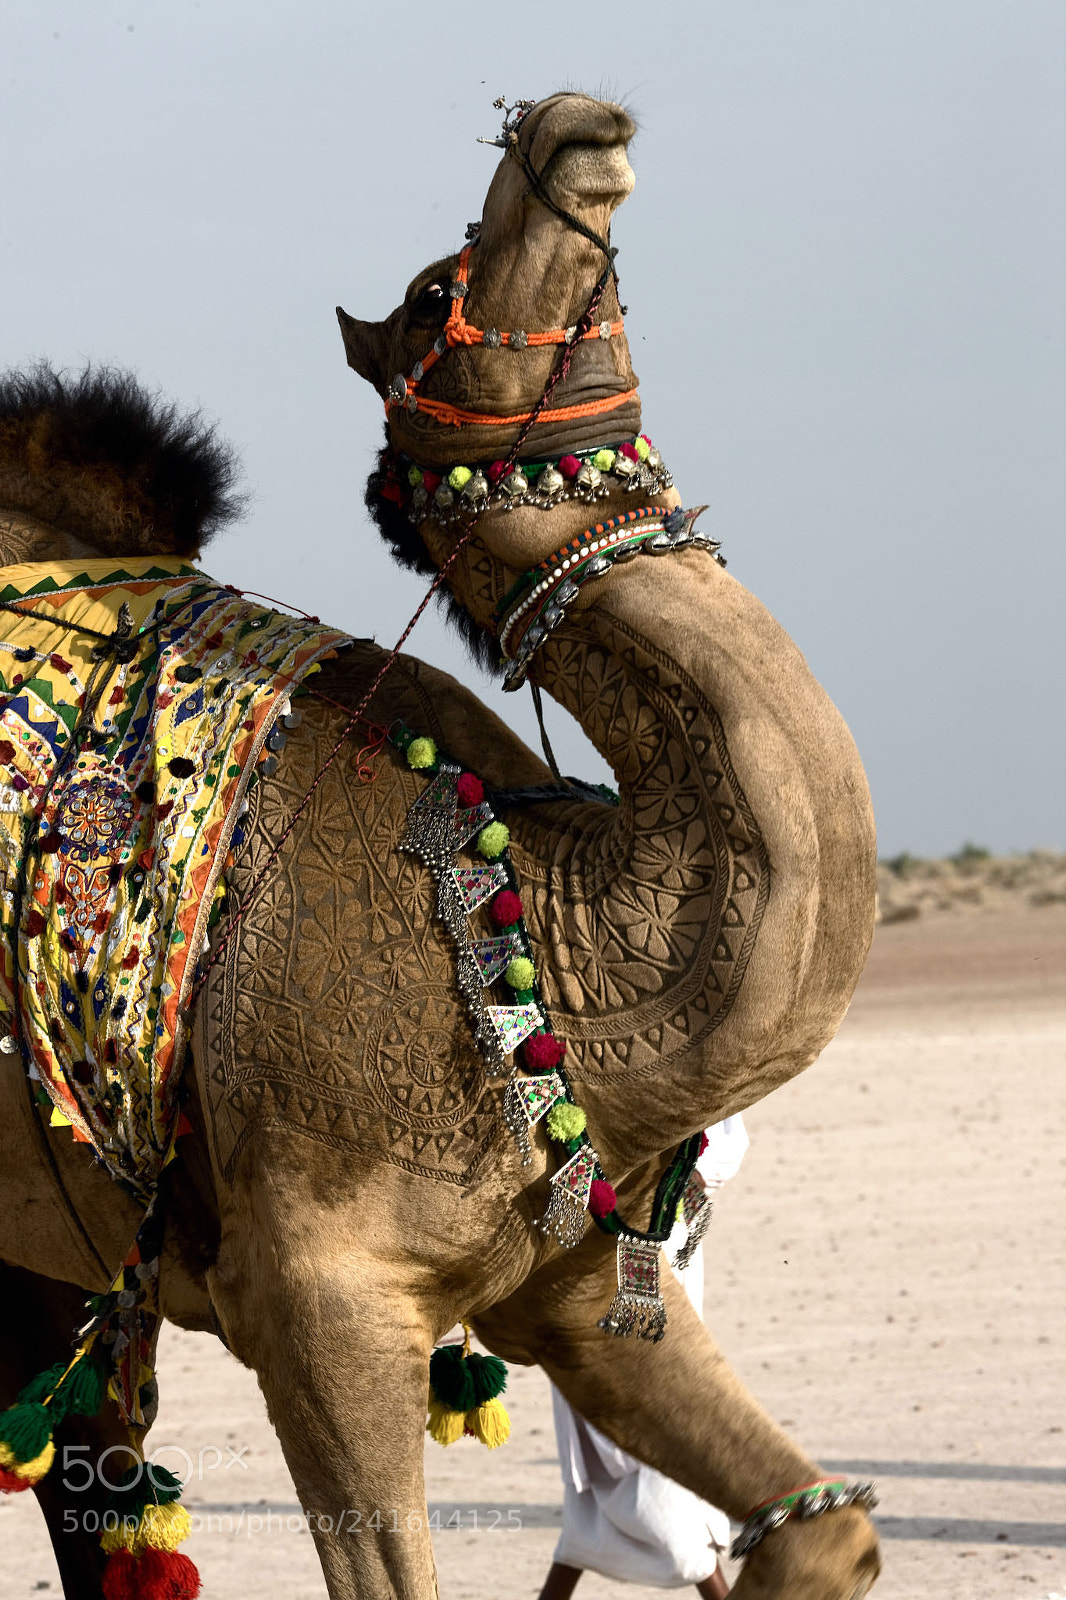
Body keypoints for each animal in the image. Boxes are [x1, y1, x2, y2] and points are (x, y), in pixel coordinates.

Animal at [0, 92, 880, 1600]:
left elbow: (823, 1531)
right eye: (428, 297)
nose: (570, 123)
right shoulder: (317, 1296)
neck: (530, 921)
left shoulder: (581, 1282)